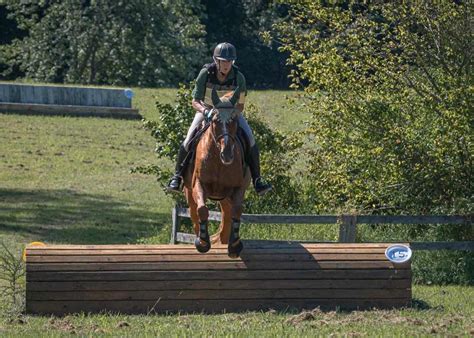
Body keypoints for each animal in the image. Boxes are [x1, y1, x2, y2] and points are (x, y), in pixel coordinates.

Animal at [182, 86, 252, 258]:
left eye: (234, 120)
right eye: (214, 120)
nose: (227, 154)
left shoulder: (239, 187)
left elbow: (237, 211)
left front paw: (234, 246)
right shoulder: (198, 185)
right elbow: (202, 209)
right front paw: (203, 242)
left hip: (225, 196)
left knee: (227, 213)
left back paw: (225, 240)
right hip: (189, 191)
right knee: (194, 212)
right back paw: (200, 237)